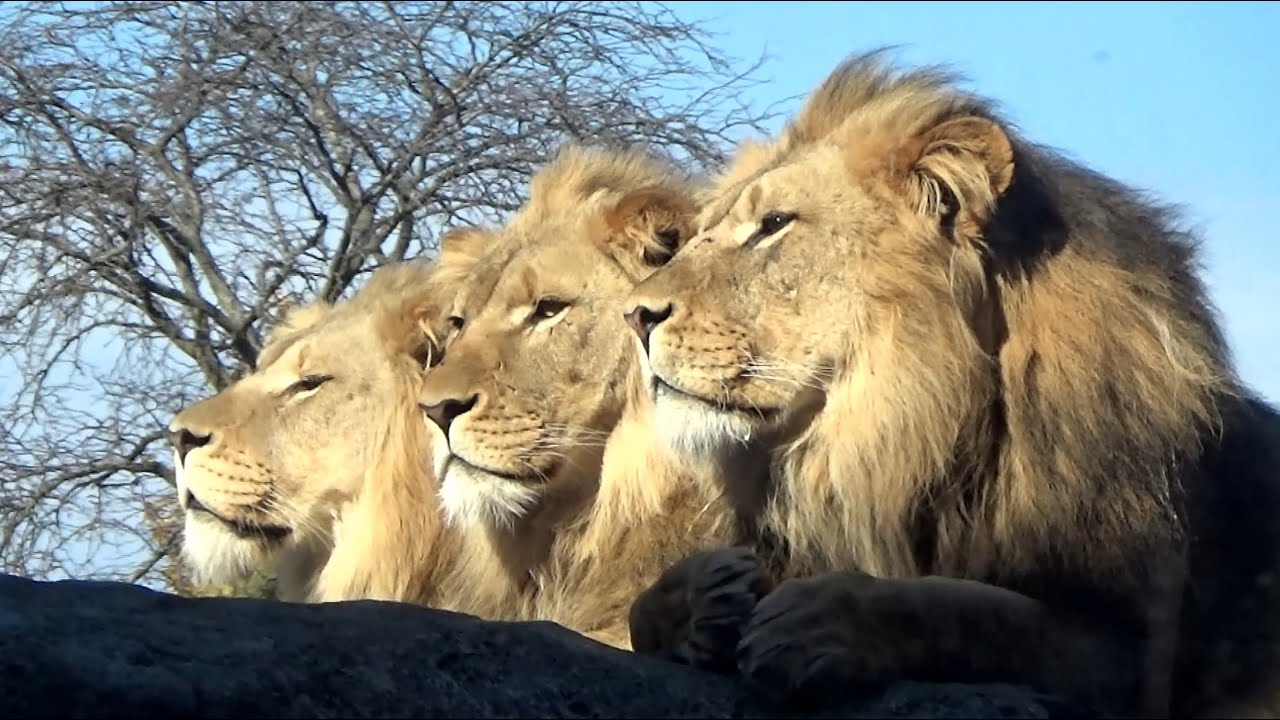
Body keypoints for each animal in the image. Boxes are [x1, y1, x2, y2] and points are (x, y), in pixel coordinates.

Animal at [621, 49, 1280, 718]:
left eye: (775, 224)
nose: (636, 316)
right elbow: (637, 610)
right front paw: (703, 597)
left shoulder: (1130, 653)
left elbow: (971, 609)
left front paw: (818, 620)